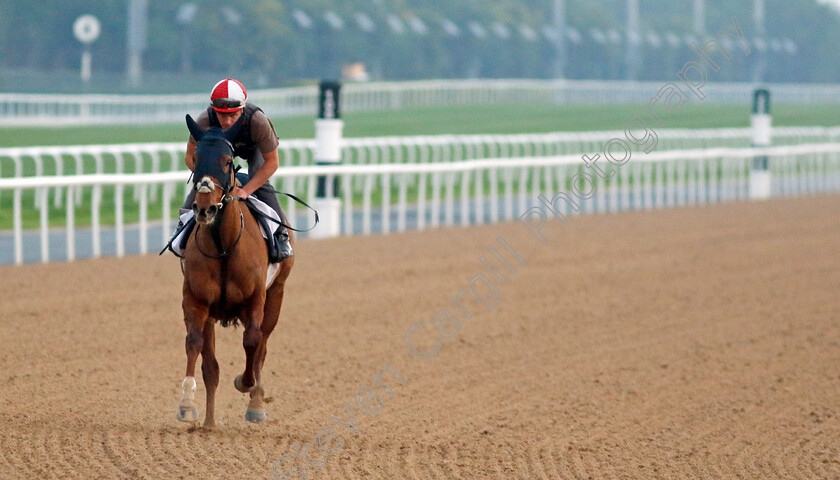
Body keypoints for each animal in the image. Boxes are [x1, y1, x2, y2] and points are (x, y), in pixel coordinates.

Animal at [175, 114, 296, 430]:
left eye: (228, 160)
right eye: (196, 157)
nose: (204, 208)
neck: (224, 246)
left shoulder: (256, 299)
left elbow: (253, 342)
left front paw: (246, 383)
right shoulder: (196, 299)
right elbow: (194, 344)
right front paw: (187, 404)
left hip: (277, 294)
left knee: (262, 346)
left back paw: (256, 404)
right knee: (211, 366)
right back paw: (209, 423)